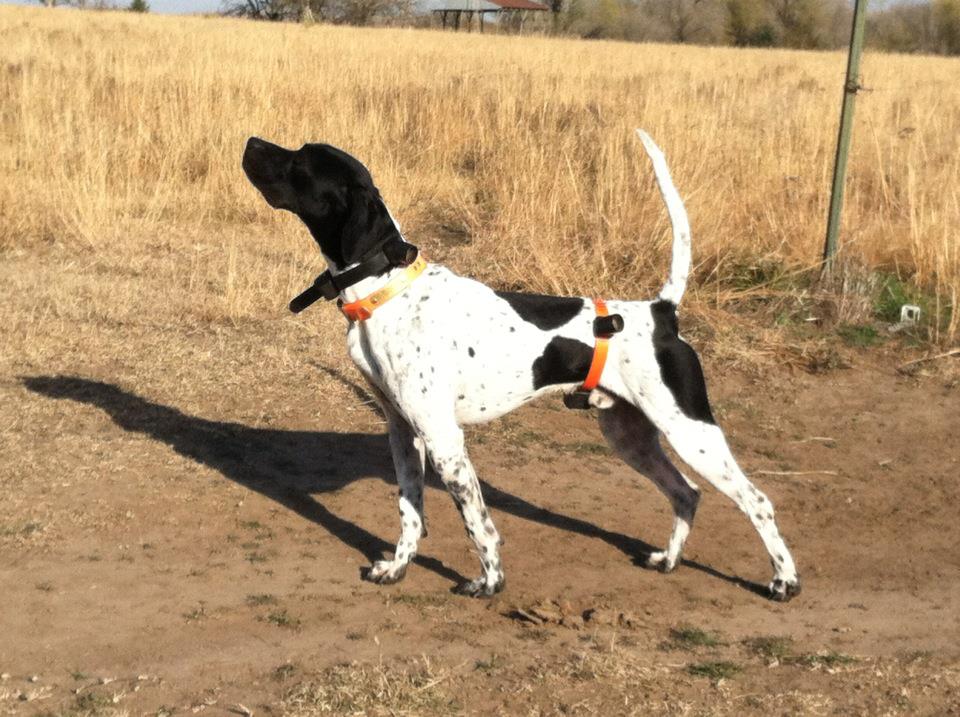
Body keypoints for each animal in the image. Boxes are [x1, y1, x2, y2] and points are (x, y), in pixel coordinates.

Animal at [242, 131, 804, 600]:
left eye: (300, 160)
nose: (249, 141)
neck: (386, 290)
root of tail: (662, 313)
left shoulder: (445, 441)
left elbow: (477, 523)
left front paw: (490, 582)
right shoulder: (403, 432)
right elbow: (409, 513)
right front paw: (397, 568)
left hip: (691, 432)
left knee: (757, 500)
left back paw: (784, 581)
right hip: (630, 436)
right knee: (686, 493)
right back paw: (668, 559)